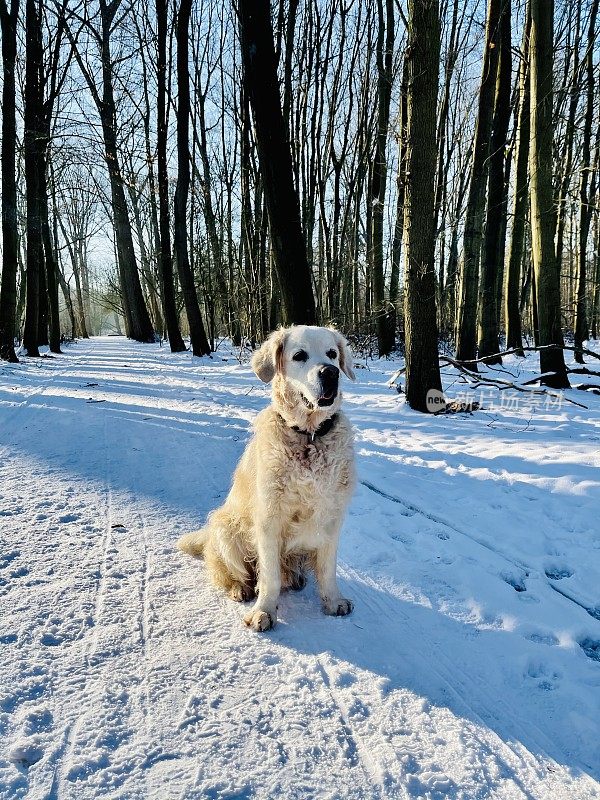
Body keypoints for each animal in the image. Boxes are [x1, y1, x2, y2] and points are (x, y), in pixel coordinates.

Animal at [178, 324, 356, 632]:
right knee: (230, 573)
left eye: (332, 354)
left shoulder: (331, 517)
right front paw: (264, 611)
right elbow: (269, 576)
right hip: (226, 528)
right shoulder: (269, 520)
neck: (309, 436)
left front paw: (333, 601)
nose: (330, 373)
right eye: (299, 356)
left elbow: (327, 569)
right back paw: (240, 589)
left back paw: (296, 579)